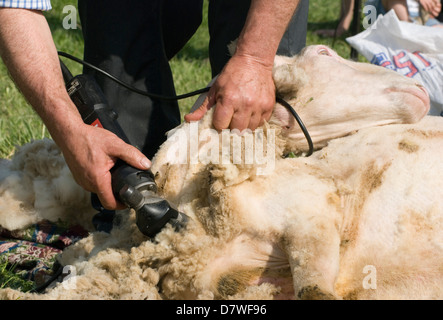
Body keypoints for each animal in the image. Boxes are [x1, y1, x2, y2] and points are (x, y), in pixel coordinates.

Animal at [0, 45, 438, 300]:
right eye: (325, 53)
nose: (419, 89)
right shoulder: (305, 223)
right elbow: (315, 292)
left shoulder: (312, 215)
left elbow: (315, 292)